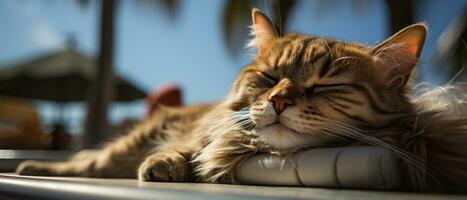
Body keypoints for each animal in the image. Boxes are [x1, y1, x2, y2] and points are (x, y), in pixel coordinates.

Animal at [16, 8, 467, 192]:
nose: (280, 101)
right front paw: (170, 162)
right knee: (88, 161)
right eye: (269, 79)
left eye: (325, 86)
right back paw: (35, 165)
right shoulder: (211, 128)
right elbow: (197, 145)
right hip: (127, 144)